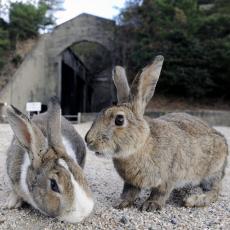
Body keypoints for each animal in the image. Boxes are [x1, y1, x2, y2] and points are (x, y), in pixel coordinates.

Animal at [85, 56, 228, 212]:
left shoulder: (168, 176)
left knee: (215, 191)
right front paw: (120, 203)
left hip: (211, 172)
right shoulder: (131, 181)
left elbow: (160, 192)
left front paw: (150, 205)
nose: (88, 140)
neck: (141, 145)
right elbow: (129, 192)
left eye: (119, 120)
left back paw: (193, 200)